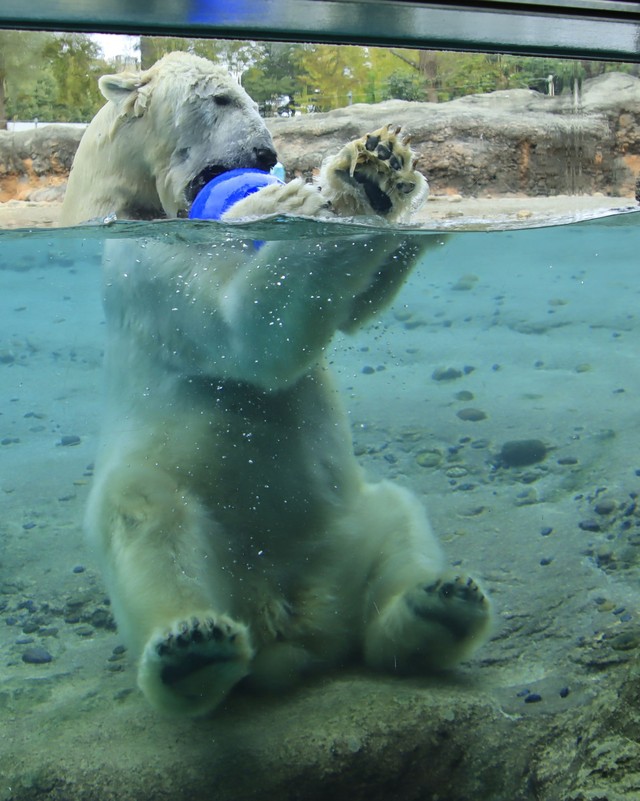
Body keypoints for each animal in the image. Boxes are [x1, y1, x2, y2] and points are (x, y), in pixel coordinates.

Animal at [62, 51, 492, 712]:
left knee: (398, 524)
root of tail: (291, 622)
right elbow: (252, 334)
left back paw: (437, 604)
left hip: (350, 525)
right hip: (184, 507)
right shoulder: (140, 261)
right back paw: (192, 650)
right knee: (146, 517)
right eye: (220, 99)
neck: (134, 204)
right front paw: (307, 196)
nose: (267, 153)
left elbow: (349, 309)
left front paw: (382, 174)